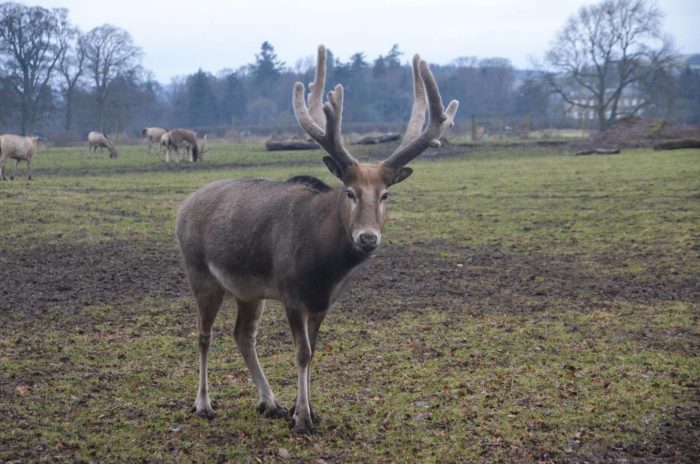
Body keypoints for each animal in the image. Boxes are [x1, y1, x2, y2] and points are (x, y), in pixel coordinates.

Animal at [175, 45, 460, 434]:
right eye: (350, 191)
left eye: (385, 194)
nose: (367, 237)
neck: (323, 268)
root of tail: (182, 208)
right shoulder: (291, 292)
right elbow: (302, 352)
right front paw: (302, 419)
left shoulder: (323, 302)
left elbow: (314, 352)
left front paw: (304, 409)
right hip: (199, 272)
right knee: (204, 334)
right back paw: (203, 404)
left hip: (248, 290)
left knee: (243, 334)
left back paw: (269, 402)